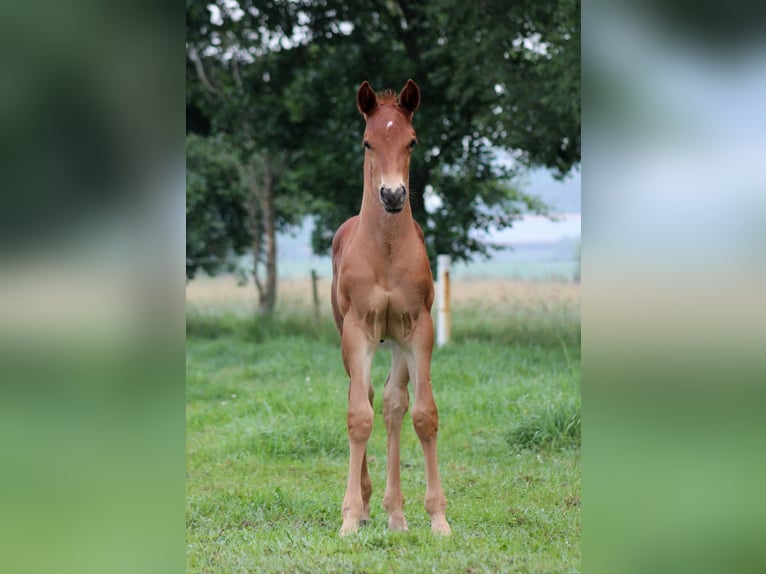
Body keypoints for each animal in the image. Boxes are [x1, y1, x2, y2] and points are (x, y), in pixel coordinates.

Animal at [330, 79, 451, 536]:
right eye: (368, 142)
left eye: (411, 141)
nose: (393, 194)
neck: (384, 250)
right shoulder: (357, 330)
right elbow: (358, 415)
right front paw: (349, 518)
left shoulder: (418, 328)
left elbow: (422, 414)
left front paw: (438, 518)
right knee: (363, 394)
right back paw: (367, 506)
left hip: (396, 340)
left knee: (393, 403)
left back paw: (396, 513)